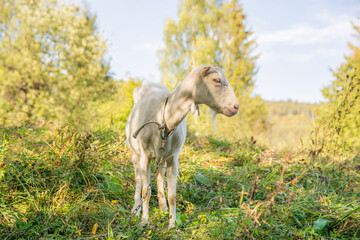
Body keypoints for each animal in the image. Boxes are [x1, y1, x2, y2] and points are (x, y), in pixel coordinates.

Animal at [125, 64, 240, 228]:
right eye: (216, 80)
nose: (236, 107)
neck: (164, 118)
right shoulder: (145, 156)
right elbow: (145, 192)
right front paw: (144, 221)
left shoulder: (173, 158)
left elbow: (172, 195)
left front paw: (172, 224)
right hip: (136, 154)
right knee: (139, 181)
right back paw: (136, 210)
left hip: (161, 157)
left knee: (159, 175)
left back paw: (163, 207)